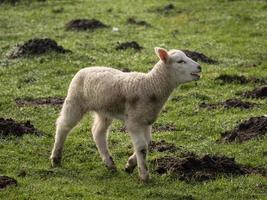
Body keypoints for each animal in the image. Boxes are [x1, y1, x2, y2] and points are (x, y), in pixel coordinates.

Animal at [50, 47, 202, 182]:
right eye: (180, 61)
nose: (200, 67)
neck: (151, 86)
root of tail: (85, 69)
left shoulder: (146, 120)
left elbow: (147, 143)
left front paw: (130, 165)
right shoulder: (134, 121)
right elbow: (141, 146)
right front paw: (144, 175)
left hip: (104, 111)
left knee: (98, 132)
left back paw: (109, 163)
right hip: (75, 101)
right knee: (63, 126)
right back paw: (56, 158)